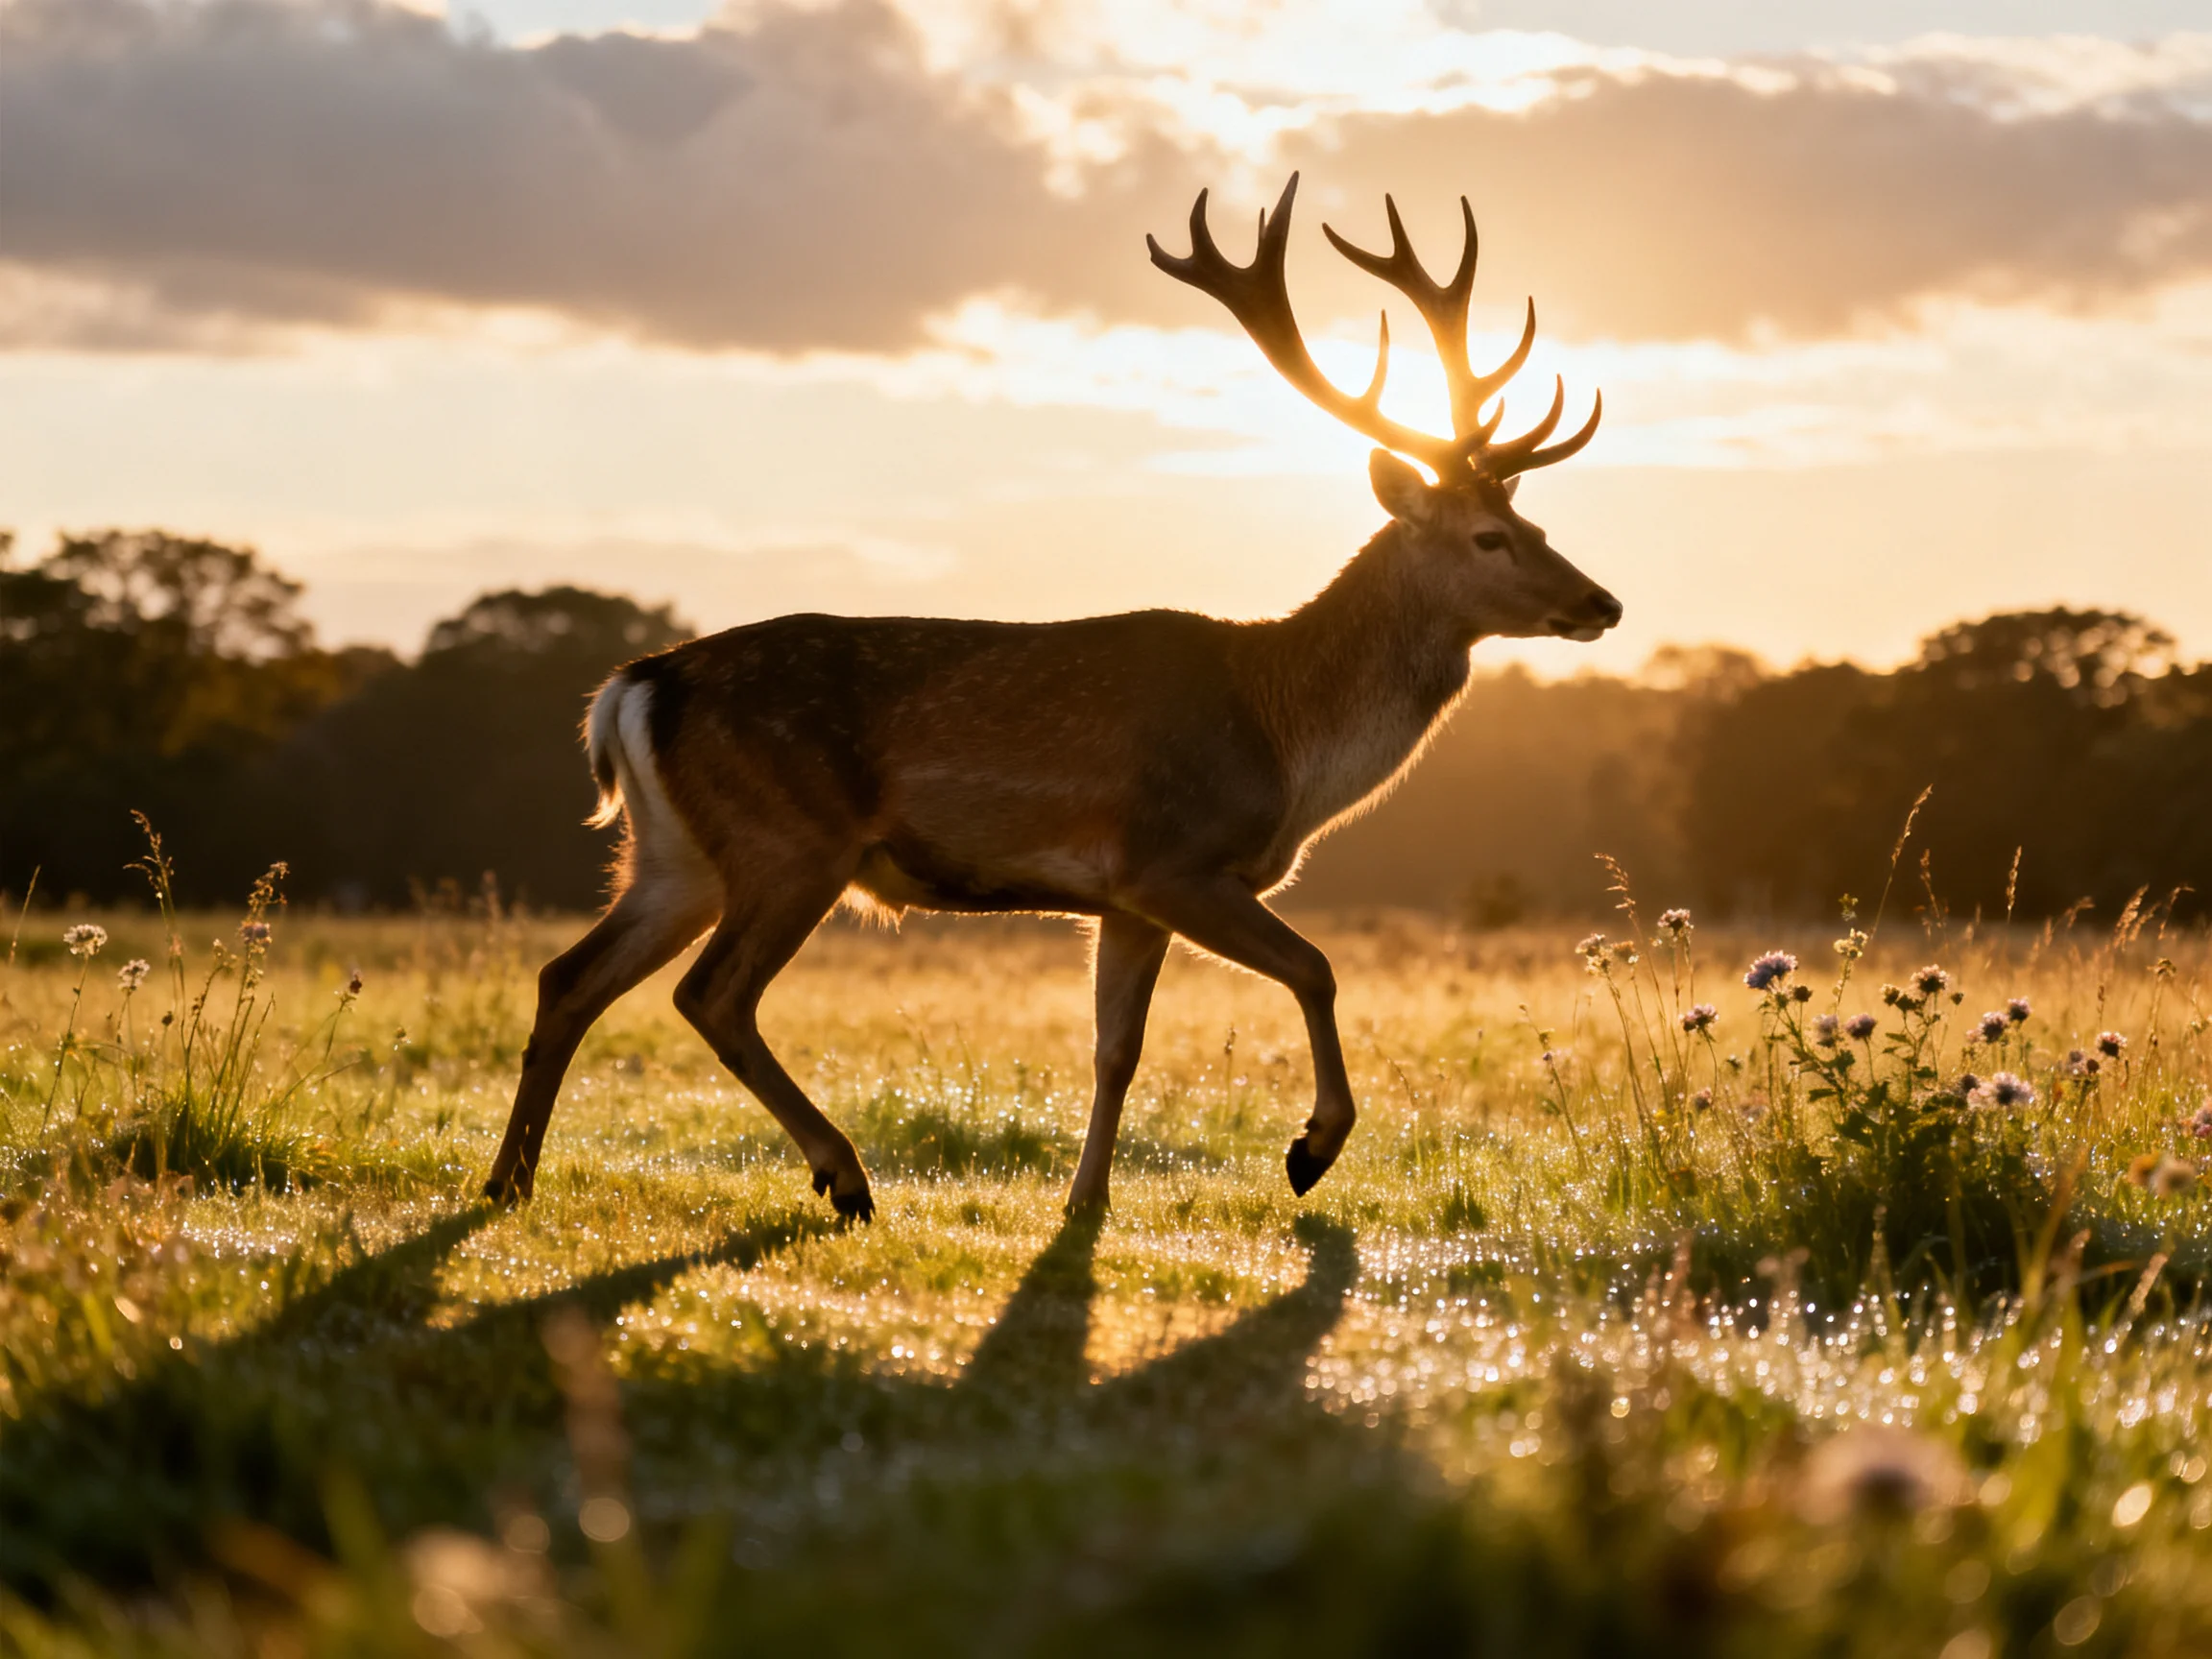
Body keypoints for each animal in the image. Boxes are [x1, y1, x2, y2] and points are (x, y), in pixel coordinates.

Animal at [482, 173, 1619, 1220]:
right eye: (1491, 537)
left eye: (1541, 524)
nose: (1601, 601)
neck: (1284, 743)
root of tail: (634, 686)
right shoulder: (1173, 857)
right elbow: (1316, 968)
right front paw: (1311, 1148)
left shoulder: (1126, 899)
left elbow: (1117, 1046)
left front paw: (1086, 1201)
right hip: (789, 841)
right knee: (710, 995)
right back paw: (841, 1175)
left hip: (675, 855)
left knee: (570, 978)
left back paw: (510, 1180)